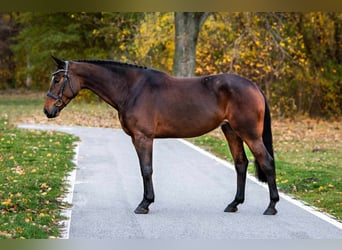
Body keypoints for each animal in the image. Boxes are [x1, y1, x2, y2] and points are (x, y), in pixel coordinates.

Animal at [44, 56, 280, 215]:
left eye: (57, 80)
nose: (47, 110)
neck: (131, 88)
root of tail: (254, 86)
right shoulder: (137, 138)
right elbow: (145, 169)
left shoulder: (143, 137)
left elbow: (146, 170)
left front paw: (145, 204)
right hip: (231, 131)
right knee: (241, 164)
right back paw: (234, 204)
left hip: (249, 134)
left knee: (266, 162)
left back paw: (271, 206)